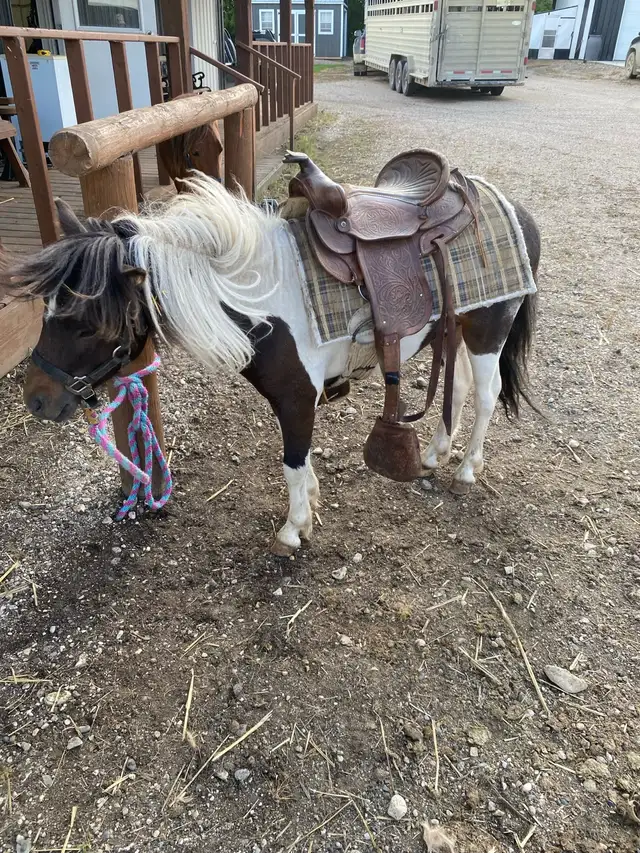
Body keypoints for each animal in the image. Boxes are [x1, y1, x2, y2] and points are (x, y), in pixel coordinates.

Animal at [1, 171, 540, 556]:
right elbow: (301, 465)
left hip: (488, 331)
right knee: (459, 387)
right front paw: (310, 506)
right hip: (455, 330)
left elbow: (291, 465)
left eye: (89, 324)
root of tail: (513, 206)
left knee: (486, 396)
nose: (36, 399)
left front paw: (292, 530)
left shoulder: (298, 398)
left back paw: (466, 470)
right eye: (48, 309)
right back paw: (433, 454)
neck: (260, 299)